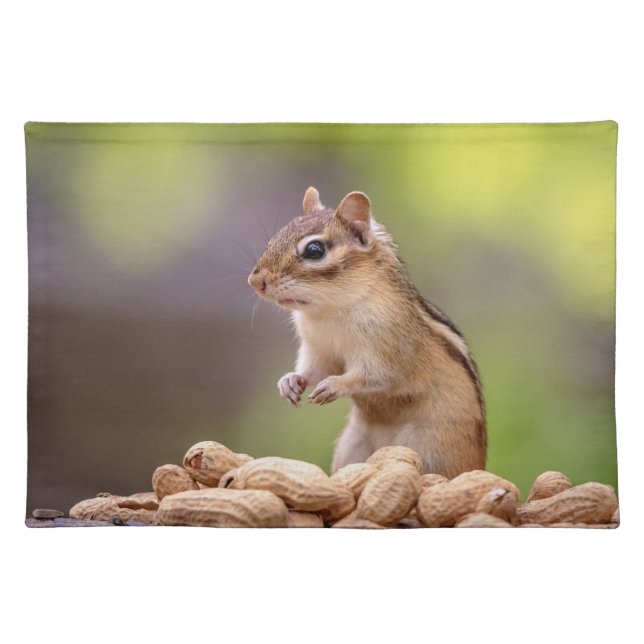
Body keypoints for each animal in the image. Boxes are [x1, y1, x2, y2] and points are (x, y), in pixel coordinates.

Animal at [248, 187, 486, 478]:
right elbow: (314, 369)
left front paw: (335, 385)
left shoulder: (389, 349)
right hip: (352, 445)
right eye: (273, 240)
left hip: (430, 448)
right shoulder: (318, 349)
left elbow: (375, 375)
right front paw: (290, 381)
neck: (330, 310)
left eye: (315, 250)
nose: (255, 281)